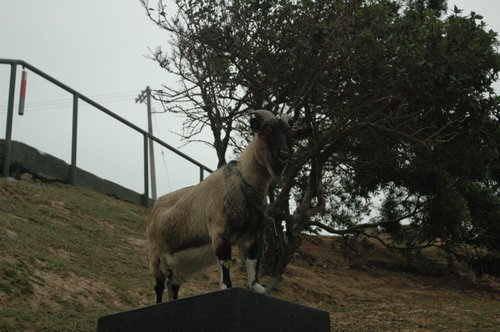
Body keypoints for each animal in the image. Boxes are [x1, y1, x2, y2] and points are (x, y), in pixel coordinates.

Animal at [148, 110, 302, 302]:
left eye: (290, 133)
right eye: (267, 129)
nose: (283, 153)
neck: (243, 183)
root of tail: (155, 207)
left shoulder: (251, 236)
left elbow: (252, 262)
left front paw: (257, 287)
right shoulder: (220, 232)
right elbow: (225, 262)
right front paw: (227, 286)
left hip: (179, 267)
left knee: (172, 286)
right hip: (155, 257)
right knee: (158, 286)